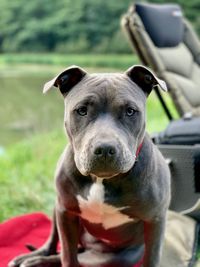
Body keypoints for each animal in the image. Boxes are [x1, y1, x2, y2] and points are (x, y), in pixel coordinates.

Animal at [9, 66, 170, 267]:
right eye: (81, 110)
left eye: (130, 111)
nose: (105, 149)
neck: (101, 180)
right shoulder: (66, 212)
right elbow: (67, 255)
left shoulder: (155, 220)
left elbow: (151, 258)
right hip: (57, 207)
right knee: (56, 244)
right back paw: (31, 257)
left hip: (109, 257)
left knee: (79, 257)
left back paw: (35, 261)